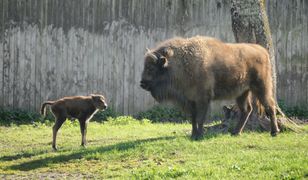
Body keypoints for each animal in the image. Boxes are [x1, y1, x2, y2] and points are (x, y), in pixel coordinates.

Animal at [141, 35, 280, 139]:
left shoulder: (203, 99)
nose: (142, 83)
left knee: (270, 106)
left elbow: (200, 118)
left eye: (151, 68)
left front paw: (199, 136)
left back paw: (274, 132)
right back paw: (235, 132)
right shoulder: (190, 100)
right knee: (247, 109)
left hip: (262, 87)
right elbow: (193, 118)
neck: (180, 62)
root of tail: (263, 51)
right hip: (242, 92)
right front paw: (193, 135)